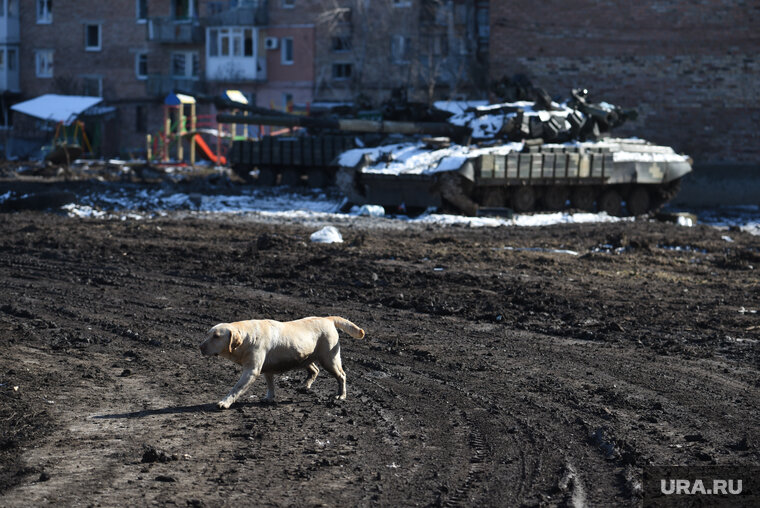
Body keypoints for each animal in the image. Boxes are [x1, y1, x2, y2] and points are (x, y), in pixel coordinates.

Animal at [199, 318, 366, 408]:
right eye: (207, 334)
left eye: (216, 336)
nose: (200, 346)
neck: (247, 337)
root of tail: (328, 319)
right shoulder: (266, 369)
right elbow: (270, 385)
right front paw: (269, 398)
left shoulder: (251, 371)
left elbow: (236, 388)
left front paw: (225, 402)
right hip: (304, 357)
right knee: (314, 370)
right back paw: (305, 386)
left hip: (329, 360)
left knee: (342, 376)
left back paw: (341, 395)